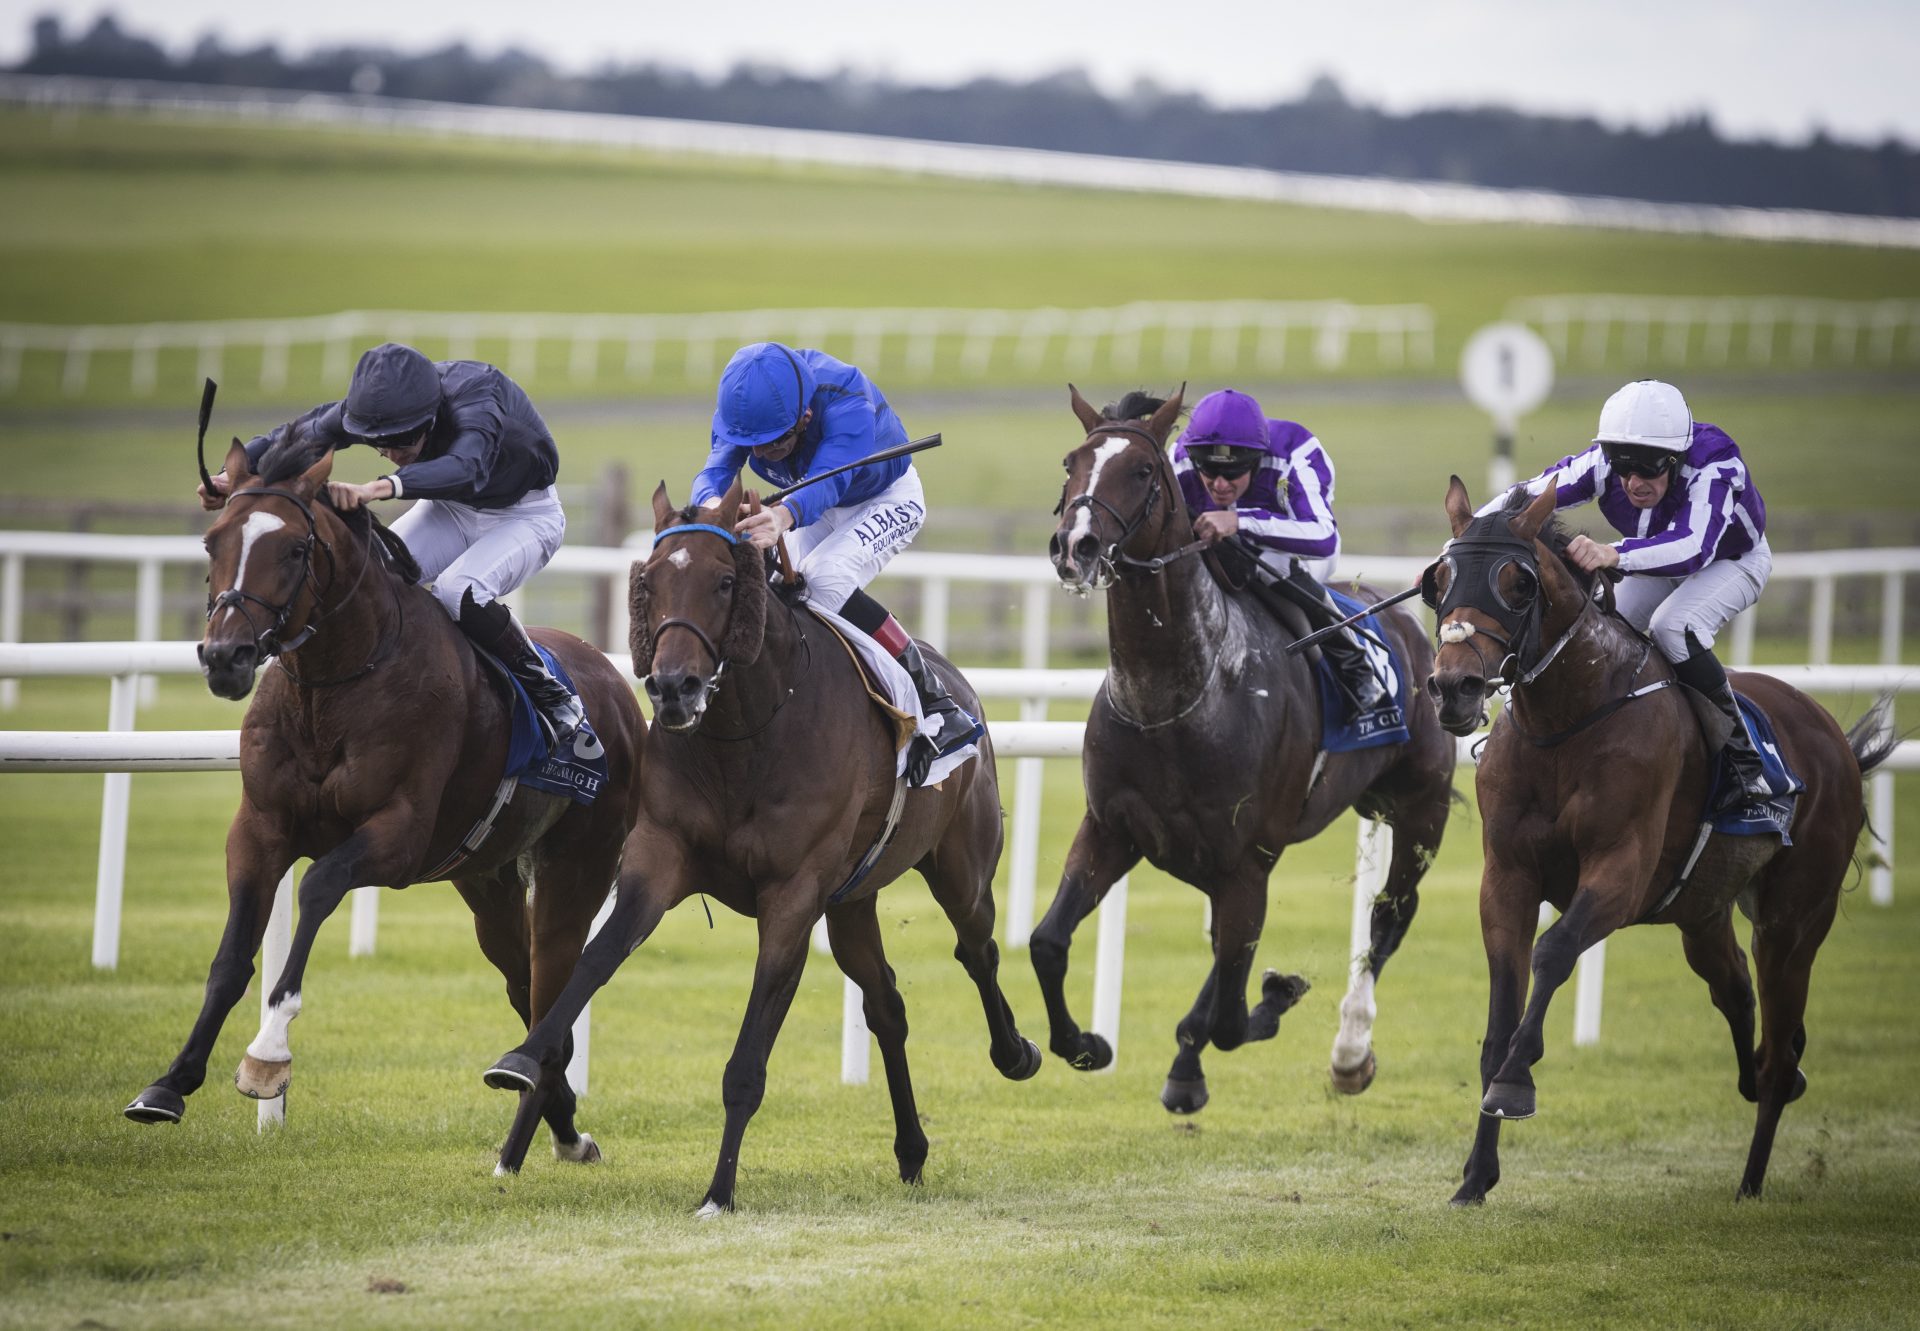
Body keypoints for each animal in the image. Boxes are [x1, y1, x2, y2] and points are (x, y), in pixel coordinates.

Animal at [1428, 480, 1889, 1206]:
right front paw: (1475, 1176)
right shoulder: (1506, 876)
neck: (1566, 722)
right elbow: (1502, 1007)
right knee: (1738, 996)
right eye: (1440, 579)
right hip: (1701, 914)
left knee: (1779, 1036)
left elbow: (1554, 952)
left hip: (1793, 923)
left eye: (1518, 584)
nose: (1454, 686)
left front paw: (1515, 1082)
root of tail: (1835, 739)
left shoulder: (1621, 871)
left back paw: (1751, 1181)